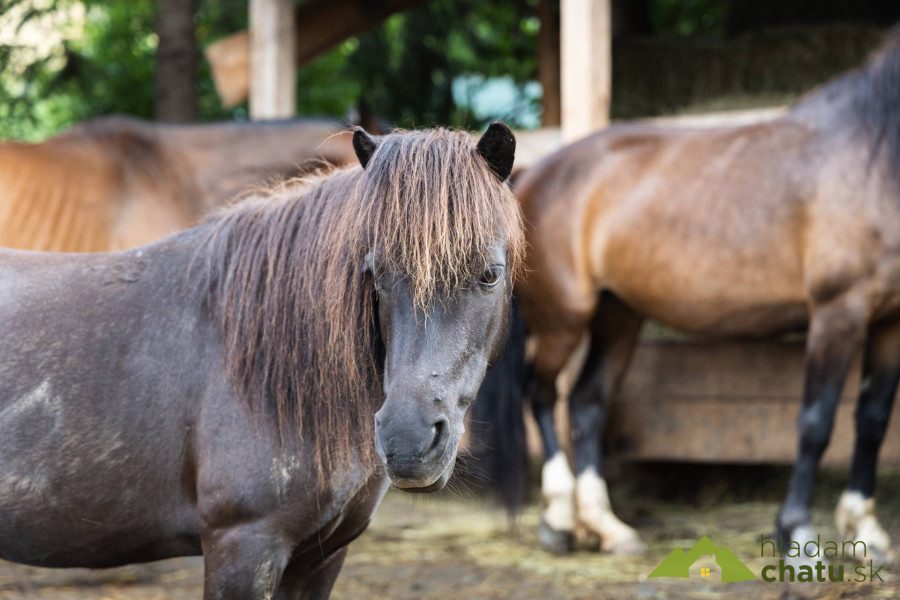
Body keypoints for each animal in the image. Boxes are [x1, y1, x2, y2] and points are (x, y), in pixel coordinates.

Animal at [478, 30, 900, 560]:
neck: (873, 153)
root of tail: (528, 175)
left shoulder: (888, 321)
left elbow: (872, 421)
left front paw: (867, 532)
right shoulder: (838, 312)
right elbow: (817, 422)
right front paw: (798, 533)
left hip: (620, 315)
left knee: (586, 403)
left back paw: (609, 527)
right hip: (564, 320)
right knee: (540, 395)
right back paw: (557, 520)